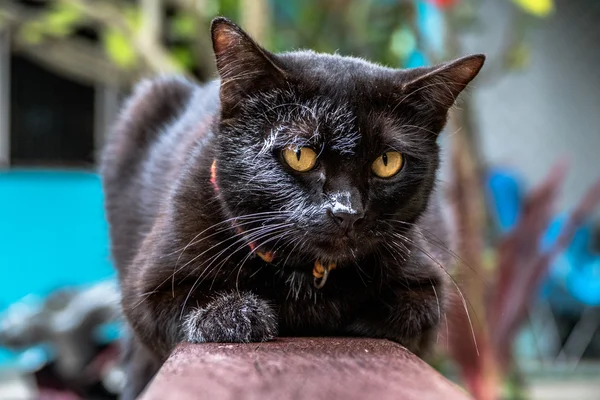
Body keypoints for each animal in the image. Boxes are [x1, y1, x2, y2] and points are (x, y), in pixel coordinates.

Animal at [101, 16, 486, 400]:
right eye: (299, 154)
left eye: (387, 162)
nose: (346, 211)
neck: (306, 278)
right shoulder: (146, 289)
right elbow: (189, 304)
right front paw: (237, 314)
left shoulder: (428, 283)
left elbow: (412, 312)